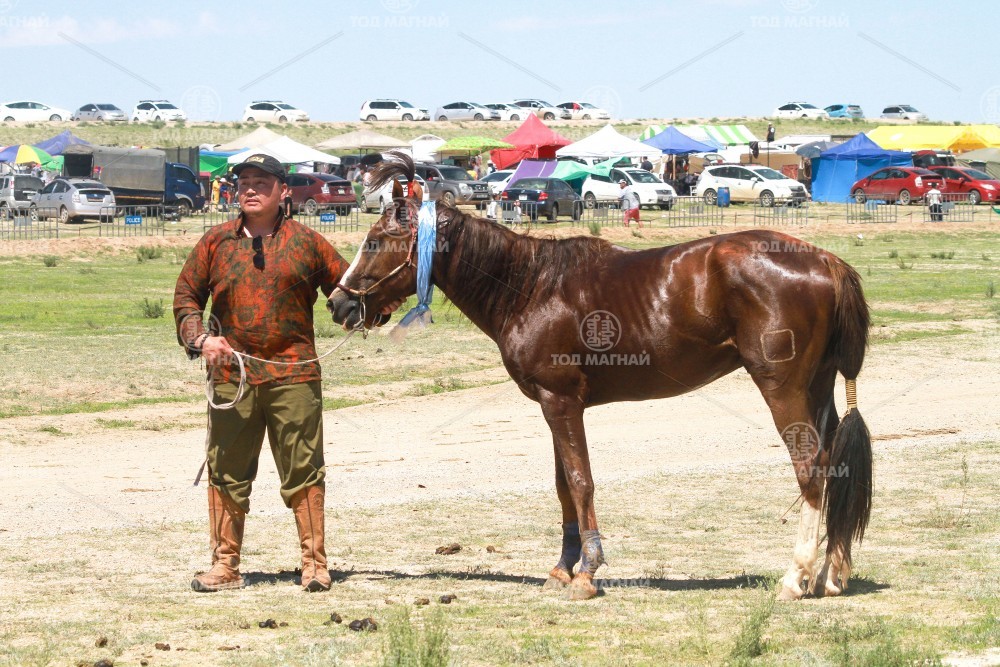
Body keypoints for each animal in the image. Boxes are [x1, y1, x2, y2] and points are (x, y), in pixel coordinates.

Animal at [328, 152, 873, 602]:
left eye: (373, 242)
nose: (338, 303)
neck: (530, 288)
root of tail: (826, 260)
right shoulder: (552, 405)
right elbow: (562, 485)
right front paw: (562, 568)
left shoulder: (562, 402)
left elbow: (580, 481)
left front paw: (587, 571)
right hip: (817, 388)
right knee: (833, 464)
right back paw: (831, 574)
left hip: (782, 390)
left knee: (810, 468)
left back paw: (796, 577)